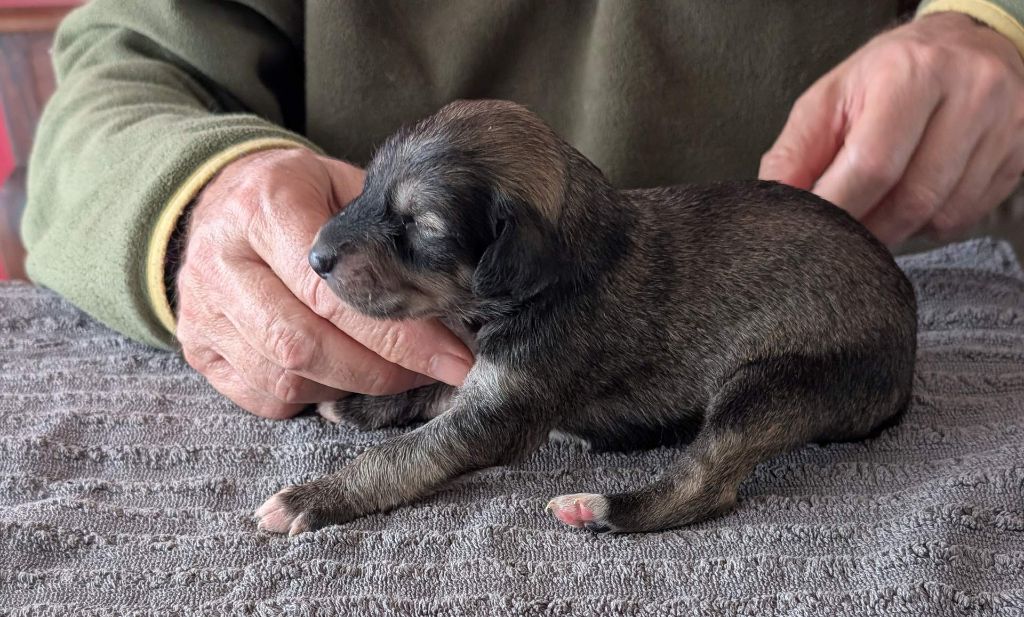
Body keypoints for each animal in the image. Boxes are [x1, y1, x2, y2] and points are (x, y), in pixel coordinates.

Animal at [251, 101, 917, 536]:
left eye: (421, 227)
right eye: (366, 188)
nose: (314, 258)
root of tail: (907, 329)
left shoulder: (501, 410)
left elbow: (406, 455)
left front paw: (311, 498)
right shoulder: (487, 376)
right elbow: (431, 388)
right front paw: (356, 404)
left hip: (774, 384)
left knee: (706, 484)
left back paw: (600, 509)